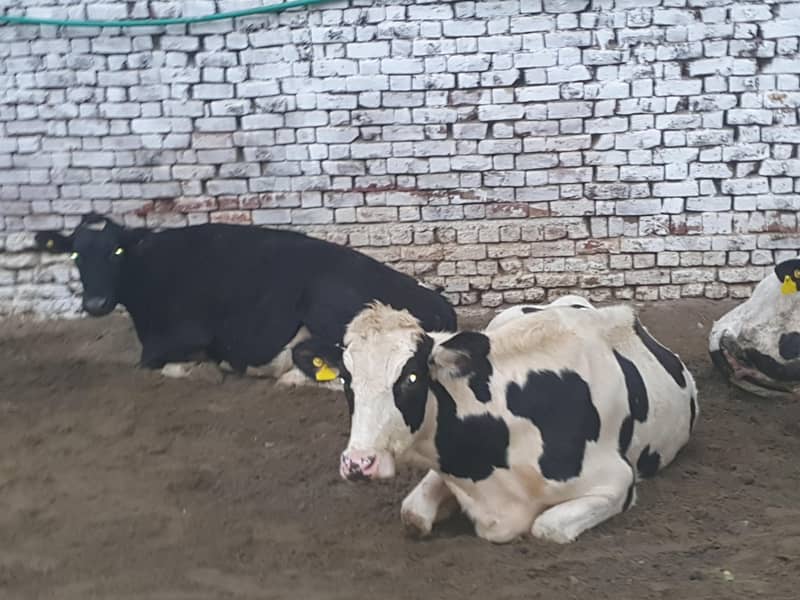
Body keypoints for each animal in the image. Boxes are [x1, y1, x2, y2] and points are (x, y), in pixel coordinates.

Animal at [34, 213, 457, 386]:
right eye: (75, 255)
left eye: (116, 252)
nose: (96, 304)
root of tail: (438, 302)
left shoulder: (186, 335)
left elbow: (151, 362)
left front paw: (205, 369)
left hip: (328, 300)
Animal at [336, 299, 698, 544]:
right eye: (345, 378)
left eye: (411, 377)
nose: (358, 463)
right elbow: (412, 514)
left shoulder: (616, 481)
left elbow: (545, 527)